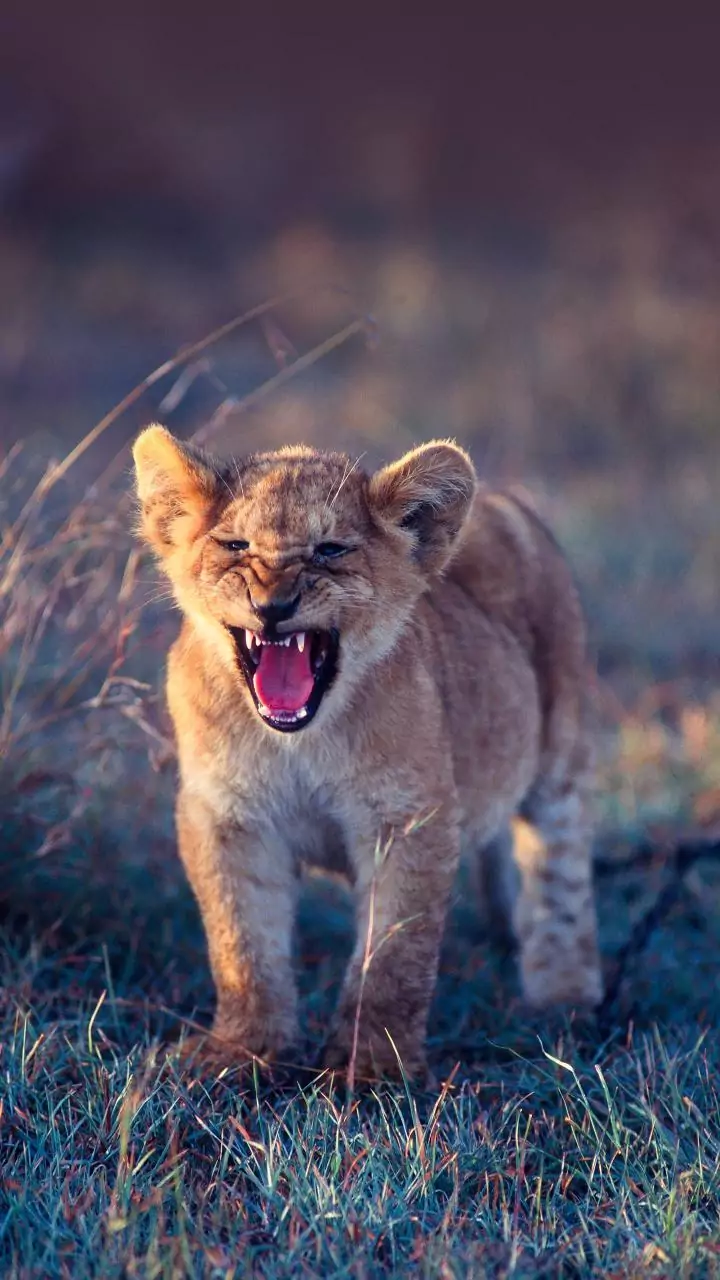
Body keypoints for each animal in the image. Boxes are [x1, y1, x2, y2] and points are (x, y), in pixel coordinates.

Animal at [132, 425, 603, 1079]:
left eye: (330, 550)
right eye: (234, 544)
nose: (272, 606)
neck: (299, 742)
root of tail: (503, 499)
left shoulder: (407, 820)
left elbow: (393, 957)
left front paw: (373, 1067)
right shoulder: (228, 817)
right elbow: (242, 944)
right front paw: (244, 1052)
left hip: (561, 754)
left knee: (561, 871)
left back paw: (565, 997)